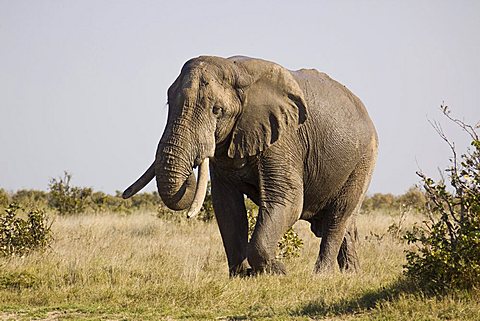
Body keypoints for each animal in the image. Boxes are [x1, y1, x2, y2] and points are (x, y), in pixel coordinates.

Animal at [124, 55, 378, 276]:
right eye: (168, 103)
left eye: (217, 110)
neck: (236, 71)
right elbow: (227, 206)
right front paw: (242, 275)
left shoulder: (284, 138)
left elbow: (287, 200)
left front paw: (277, 272)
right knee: (342, 225)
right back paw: (351, 275)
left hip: (365, 159)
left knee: (338, 217)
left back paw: (321, 276)